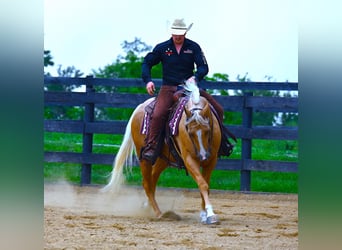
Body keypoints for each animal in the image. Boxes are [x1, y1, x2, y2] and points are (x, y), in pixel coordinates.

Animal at [104, 82, 222, 225]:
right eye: (189, 132)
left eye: (207, 130)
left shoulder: (212, 160)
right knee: (147, 183)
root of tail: (139, 108)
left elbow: (205, 185)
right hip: (144, 158)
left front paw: (204, 214)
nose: (203, 156)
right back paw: (159, 213)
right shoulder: (189, 159)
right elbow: (203, 184)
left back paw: (148, 206)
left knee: (152, 179)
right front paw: (210, 214)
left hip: (163, 159)